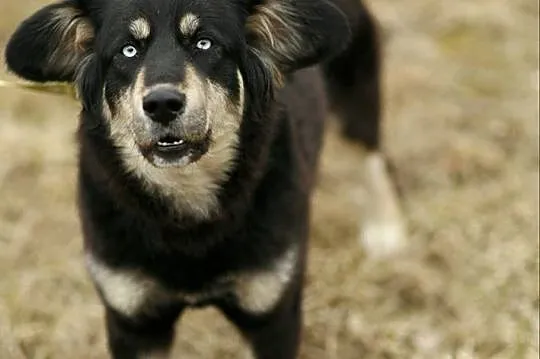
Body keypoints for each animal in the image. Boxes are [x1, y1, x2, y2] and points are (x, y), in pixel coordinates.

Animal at [4, 0, 404, 358]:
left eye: (205, 44)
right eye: (127, 51)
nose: (162, 104)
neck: (188, 200)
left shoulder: (273, 316)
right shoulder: (135, 321)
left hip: (354, 92)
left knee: (370, 157)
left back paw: (385, 228)